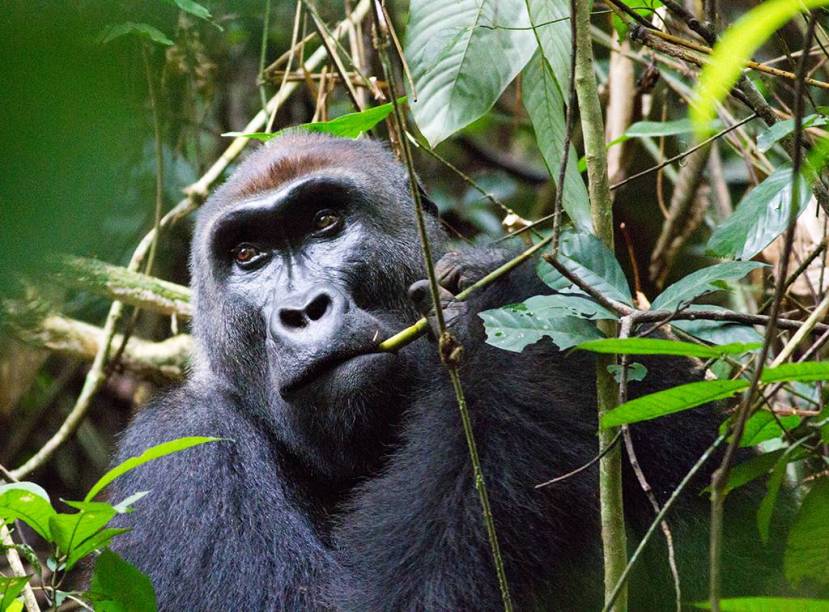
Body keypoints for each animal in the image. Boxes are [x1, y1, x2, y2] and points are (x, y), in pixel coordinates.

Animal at [111, 133, 784, 608]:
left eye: (326, 222)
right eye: (249, 256)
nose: (303, 310)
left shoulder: (644, 365)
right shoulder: (178, 452)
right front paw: (497, 315)